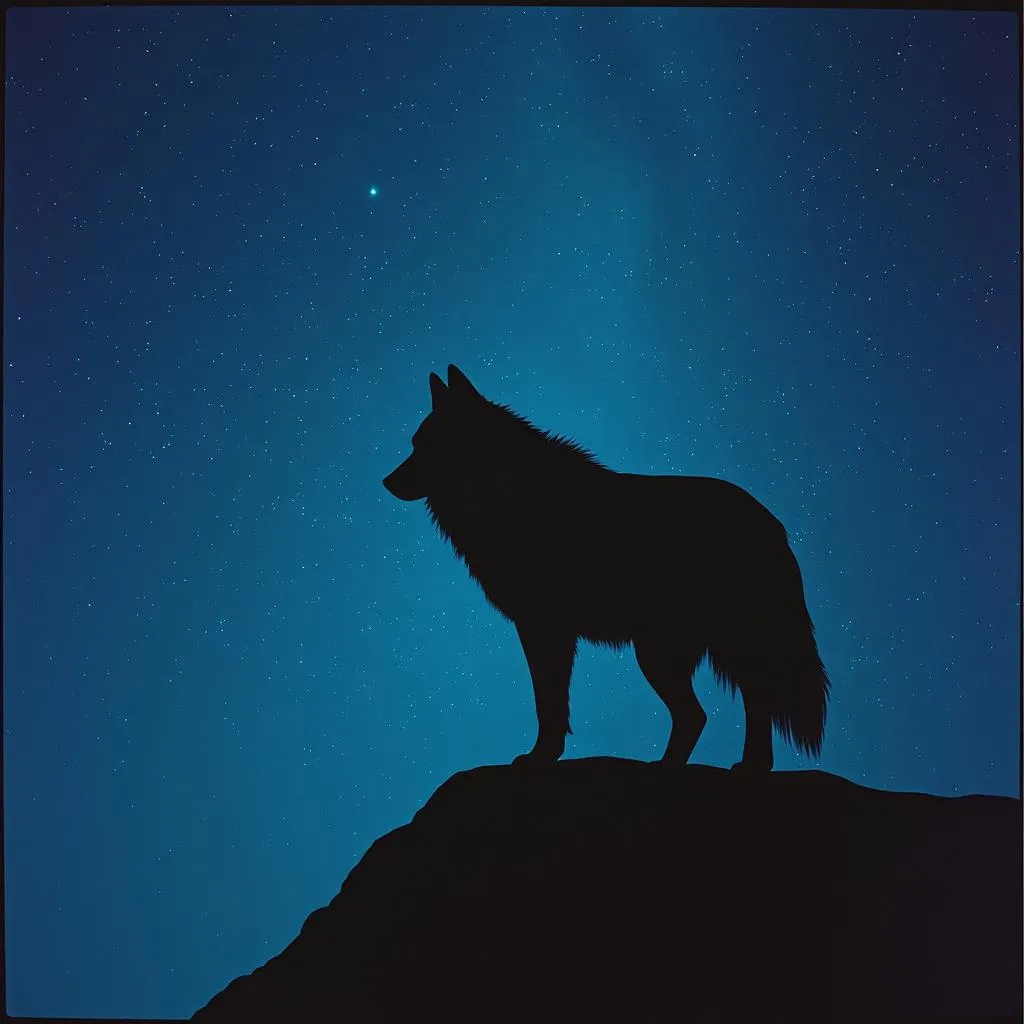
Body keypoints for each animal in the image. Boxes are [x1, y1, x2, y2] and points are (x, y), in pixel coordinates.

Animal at [383, 365, 830, 772]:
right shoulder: (550, 631)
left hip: (664, 652)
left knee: (705, 711)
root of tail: (772, 525)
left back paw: (678, 767)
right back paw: (741, 766)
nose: (387, 482)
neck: (506, 490)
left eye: (426, 444)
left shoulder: (543, 628)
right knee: (737, 704)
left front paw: (540, 757)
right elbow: (552, 704)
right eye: (414, 443)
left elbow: (548, 703)